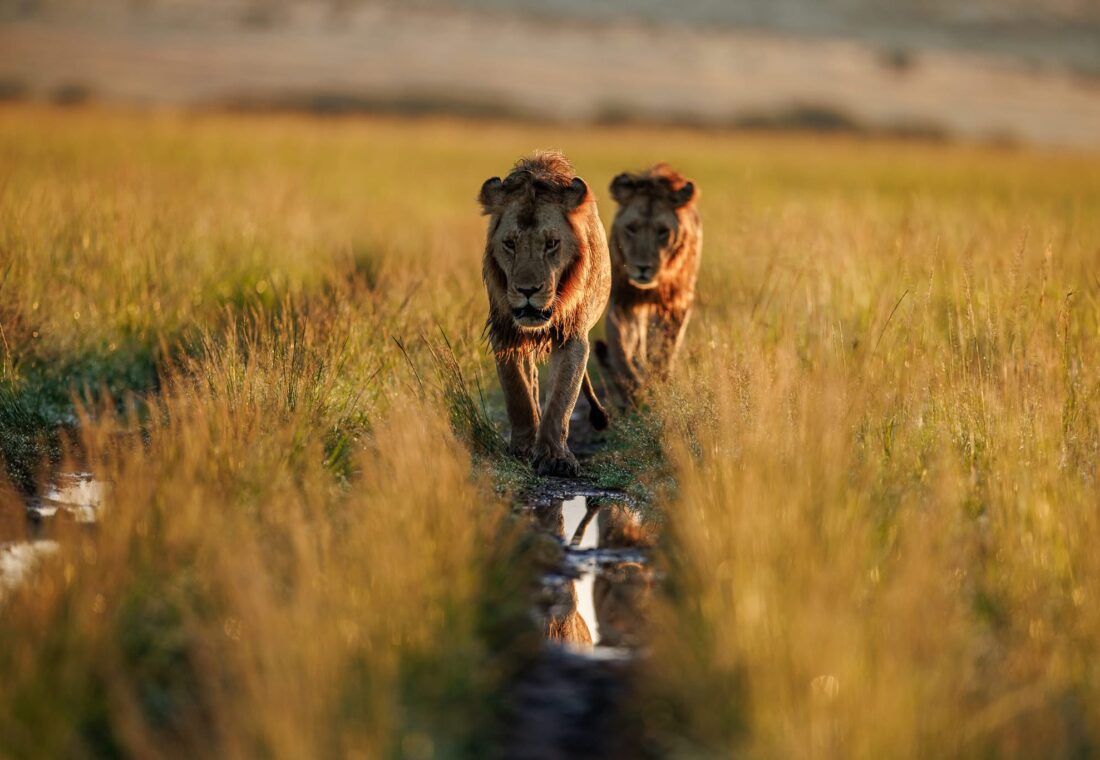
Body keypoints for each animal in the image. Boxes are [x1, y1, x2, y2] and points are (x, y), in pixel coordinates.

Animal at [479, 151, 611, 477]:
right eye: (509, 243)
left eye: (551, 244)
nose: (528, 290)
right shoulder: (506, 331)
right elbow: (518, 393)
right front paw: (523, 447)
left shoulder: (572, 337)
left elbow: (562, 397)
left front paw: (555, 457)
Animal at [595, 163, 701, 405]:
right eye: (631, 228)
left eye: (663, 232)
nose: (642, 268)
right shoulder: (623, 300)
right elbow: (620, 347)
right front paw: (631, 387)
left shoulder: (676, 303)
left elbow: (664, 349)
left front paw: (656, 384)